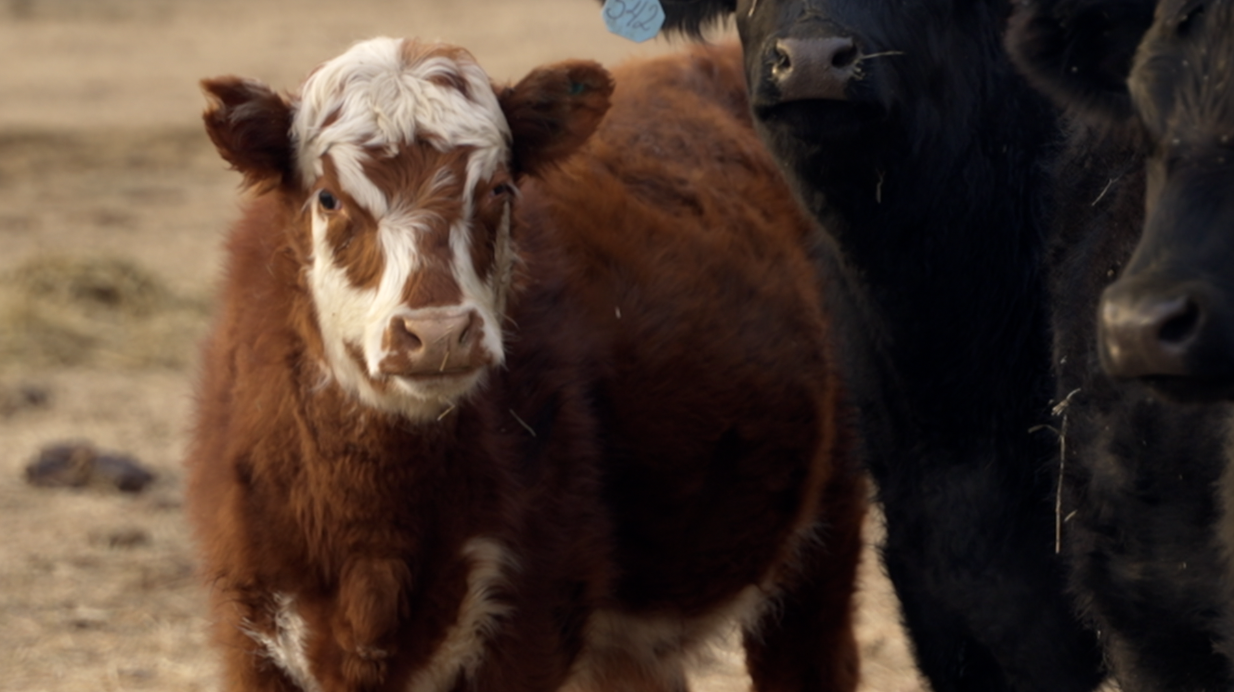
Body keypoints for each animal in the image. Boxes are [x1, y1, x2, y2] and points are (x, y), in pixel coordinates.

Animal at [186, 37, 868, 692]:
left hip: (824, 537)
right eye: (327, 198)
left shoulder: (534, 616)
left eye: (499, 189)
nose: (438, 333)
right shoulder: (251, 631)